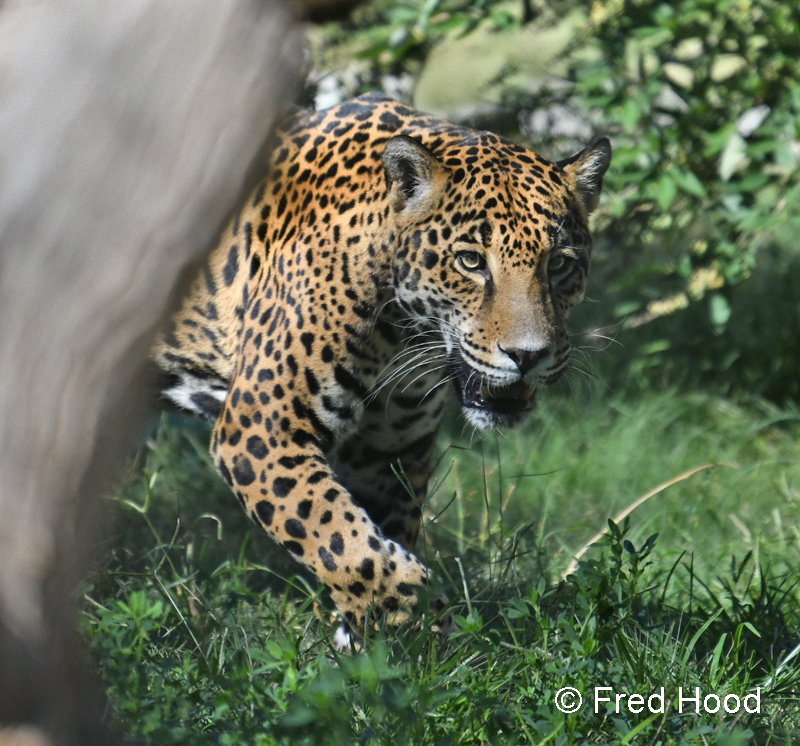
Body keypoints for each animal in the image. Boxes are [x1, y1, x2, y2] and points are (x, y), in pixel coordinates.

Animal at [153, 92, 610, 639]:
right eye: (470, 262)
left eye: (559, 264)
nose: (528, 355)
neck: (402, 333)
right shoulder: (260, 428)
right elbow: (338, 535)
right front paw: (413, 613)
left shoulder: (389, 447)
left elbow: (377, 531)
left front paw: (376, 643)